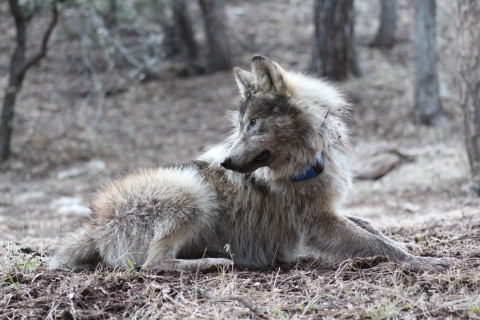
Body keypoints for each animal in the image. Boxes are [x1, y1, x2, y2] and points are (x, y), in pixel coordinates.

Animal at [50, 56, 452, 272]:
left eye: (254, 123)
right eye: (242, 125)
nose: (225, 162)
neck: (305, 164)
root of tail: (94, 223)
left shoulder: (331, 211)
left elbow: (374, 229)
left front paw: (415, 247)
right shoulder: (320, 223)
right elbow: (376, 243)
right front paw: (426, 263)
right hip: (192, 193)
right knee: (154, 264)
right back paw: (213, 262)